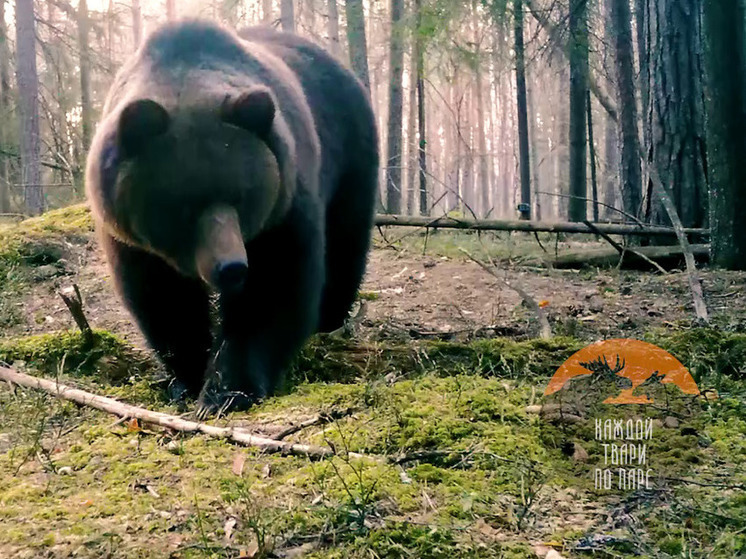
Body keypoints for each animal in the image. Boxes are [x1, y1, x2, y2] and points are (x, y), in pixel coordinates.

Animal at [85, 20, 378, 412]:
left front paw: (228, 389)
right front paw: (187, 377)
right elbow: (162, 299)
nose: (232, 267)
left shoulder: (284, 208)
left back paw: (331, 316)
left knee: (347, 239)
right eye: (184, 205)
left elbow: (273, 287)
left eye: (242, 197)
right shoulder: (131, 238)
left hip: (350, 154)